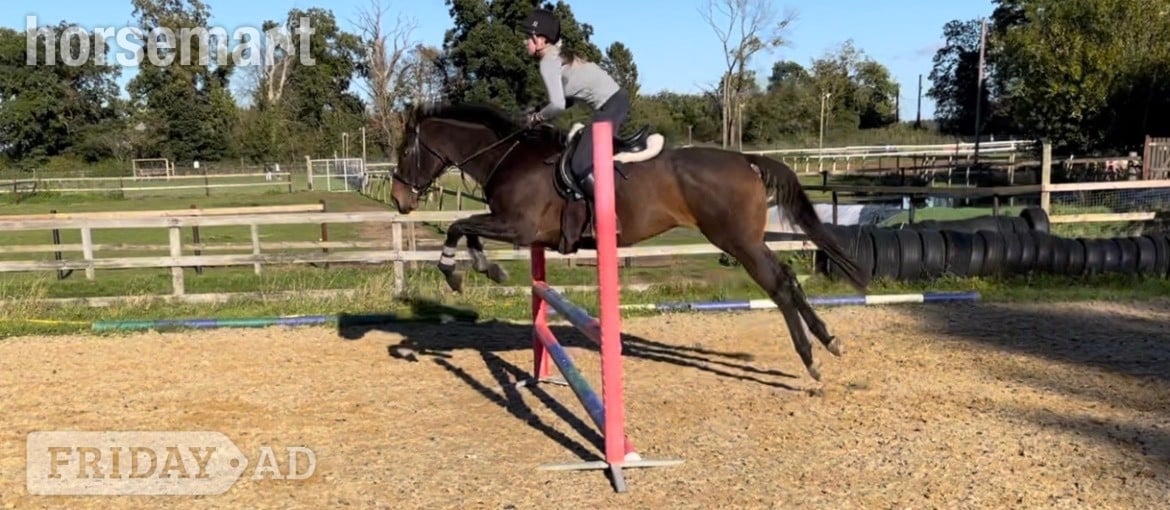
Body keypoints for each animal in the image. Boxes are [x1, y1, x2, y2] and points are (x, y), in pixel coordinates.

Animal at [388, 102, 870, 381]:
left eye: (405, 151)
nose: (398, 200)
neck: (507, 156)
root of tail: (746, 161)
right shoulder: (516, 229)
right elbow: (466, 227)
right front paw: (484, 268)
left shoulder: (517, 227)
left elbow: (459, 225)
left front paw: (459, 272)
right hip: (748, 241)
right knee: (789, 277)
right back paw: (829, 341)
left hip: (739, 243)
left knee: (778, 285)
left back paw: (812, 359)